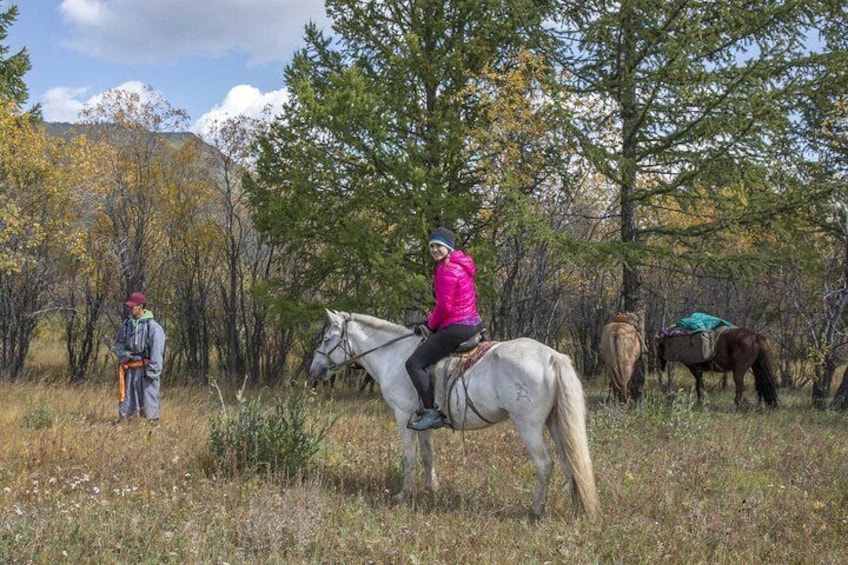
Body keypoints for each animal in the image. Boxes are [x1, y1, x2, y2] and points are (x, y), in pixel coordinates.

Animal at [308, 310, 600, 516]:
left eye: (326, 338)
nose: (314, 371)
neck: (393, 355)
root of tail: (552, 357)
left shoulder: (403, 416)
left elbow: (409, 456)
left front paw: (404, 495)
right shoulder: (420, 420)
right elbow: (427, 455)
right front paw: (431, 489)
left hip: (528, 426)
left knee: (545, 464)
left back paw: (536, 509)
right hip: (555, 424)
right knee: (570, 462)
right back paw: (576, 506)